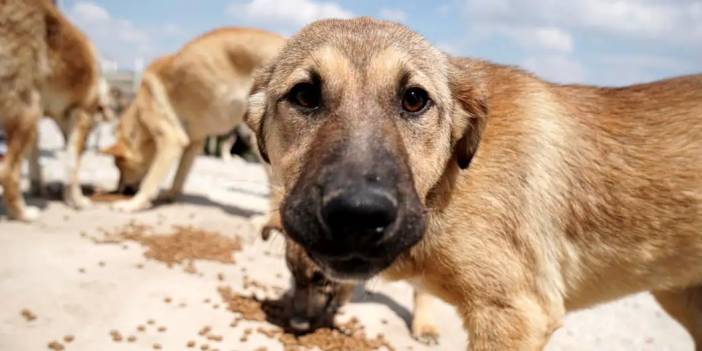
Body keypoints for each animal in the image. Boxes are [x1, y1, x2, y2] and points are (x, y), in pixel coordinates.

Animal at [0, 0, 111, 220]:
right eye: (94, 126)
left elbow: (35, 160)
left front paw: (38, 189)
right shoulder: (81, 114)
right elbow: (72, 163)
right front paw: (77, 200)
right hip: (29, 110)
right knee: (7, 170)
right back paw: (23, 213)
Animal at [101, 28, 286, 212]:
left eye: (120, 166)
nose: (120, 190)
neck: (139, 119)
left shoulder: (171, 140)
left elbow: (150, 181)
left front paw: (134, 203)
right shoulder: (193, 143)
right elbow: (179, 176)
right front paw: (170, 195)